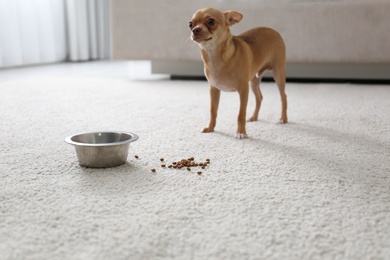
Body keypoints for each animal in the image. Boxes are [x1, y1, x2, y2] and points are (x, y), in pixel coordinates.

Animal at [190, 7, 288, 138]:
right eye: (190, 24)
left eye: (211, 21)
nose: (195, 30)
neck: (215, 57)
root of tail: (274, 30)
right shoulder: (214, 90)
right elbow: (213, 111)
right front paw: (210, 128)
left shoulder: (243, 90)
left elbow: (241, 113)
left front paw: (241, 132)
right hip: (254, 81)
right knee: (259, 97)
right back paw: (254, 117)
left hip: (278, 74)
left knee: (283, 97)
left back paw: (283, 119)